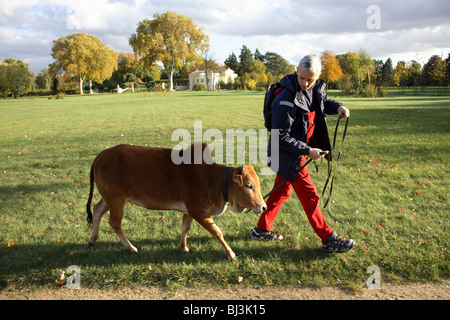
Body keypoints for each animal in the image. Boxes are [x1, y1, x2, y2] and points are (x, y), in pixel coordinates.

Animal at [86, 143, 266, 260]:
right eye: (249, 185)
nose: (263, 207)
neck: (211, 179)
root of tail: (101, 155)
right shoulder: (199, 212)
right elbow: (217, 232)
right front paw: (231, 253)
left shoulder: (190, 211)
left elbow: (185, 227)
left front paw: (183, 247)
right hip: (116, 200)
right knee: (114, 222)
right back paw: (130, 247)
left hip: (109, 198)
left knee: (97, 210)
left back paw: (93, 240)